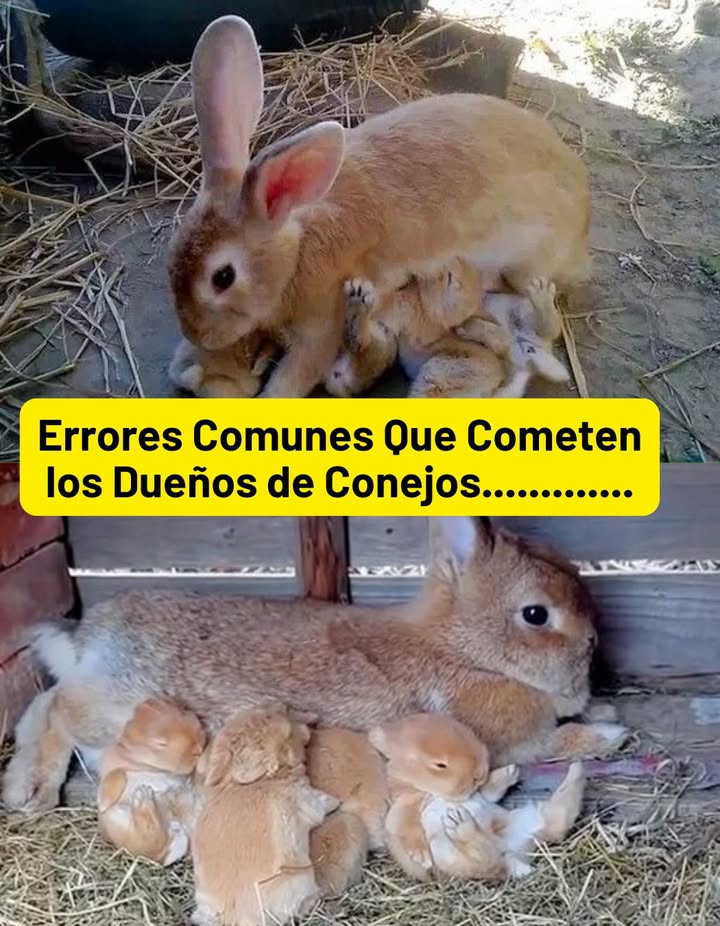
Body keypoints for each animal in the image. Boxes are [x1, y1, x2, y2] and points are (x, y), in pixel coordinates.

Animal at [3, 516, 627, 815]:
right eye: (535, 615)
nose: (595, 641)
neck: (463, 649)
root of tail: (91, 637)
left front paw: (603, 709)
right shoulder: (501, 742)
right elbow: (555, 743)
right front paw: (610, 733)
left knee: (42, 703)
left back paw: (20, 784)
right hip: (121, 707)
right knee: (60, 708)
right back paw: (33, 790)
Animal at [96, 696, 206, 865]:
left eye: (184, 712)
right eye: (160, 743)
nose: (198, 749)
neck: (149, 766)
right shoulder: (113, 768)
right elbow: (117, 775)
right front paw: (103, 803)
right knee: (148, 839)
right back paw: (143, 797)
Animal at [190, 705, 338, 926]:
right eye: (287, 733)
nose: (309, 730)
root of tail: (235, 917)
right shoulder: (308, 800)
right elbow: (324, 802)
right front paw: (338, 802)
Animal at [370, 713, 585, 882]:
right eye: (440, 765)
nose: (479, 773)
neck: (432, 792)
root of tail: (514, 855)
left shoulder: (481, 795)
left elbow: (490, 792)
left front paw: (510, 772)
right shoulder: (407, 804)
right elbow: (405, 827)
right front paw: (422, 858)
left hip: (527, 818)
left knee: (559, 820)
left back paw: (577, 770)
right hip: (455, 854)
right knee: (485, 858)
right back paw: (461, 823)